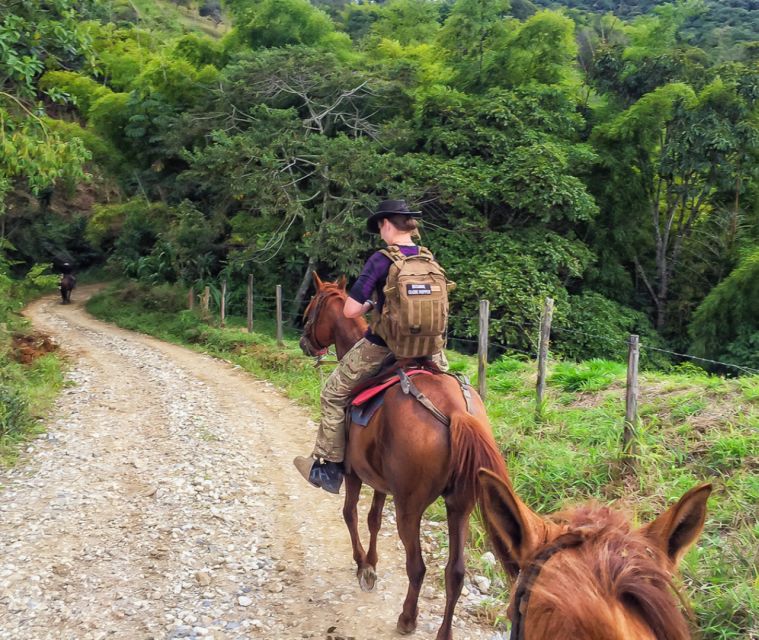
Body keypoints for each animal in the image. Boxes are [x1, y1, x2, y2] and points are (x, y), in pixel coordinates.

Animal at [300, 276, 512, 640]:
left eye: (311, 308)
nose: (303, 341)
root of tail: (456, 412)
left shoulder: (355, 474)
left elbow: (351, 514)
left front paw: (363, 565)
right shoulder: (381, 482)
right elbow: (373, 519)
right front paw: (371, 563)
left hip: (409, 507)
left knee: (417, 567)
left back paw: (407, 619)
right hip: (459, 506)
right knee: (454, 572)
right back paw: (443, 633)